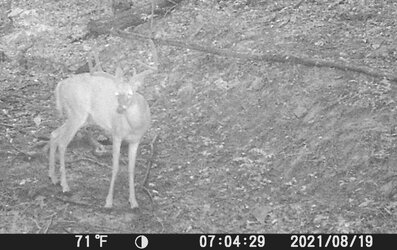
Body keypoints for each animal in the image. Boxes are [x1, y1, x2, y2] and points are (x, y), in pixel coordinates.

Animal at [48, 40, 156, 209]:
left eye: (130, 94)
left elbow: (131, 169)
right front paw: (109, 201)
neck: (134, 126)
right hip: (77, 113)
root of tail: (60, 85)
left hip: (80, 117)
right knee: (63, 142)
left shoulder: (136, 140)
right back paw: (65, 186)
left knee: (54, 134)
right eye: (116, 94)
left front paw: (133, 202)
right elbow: (116, 167)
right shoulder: (116, 134)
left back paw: (53, 177)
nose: (119, 109)